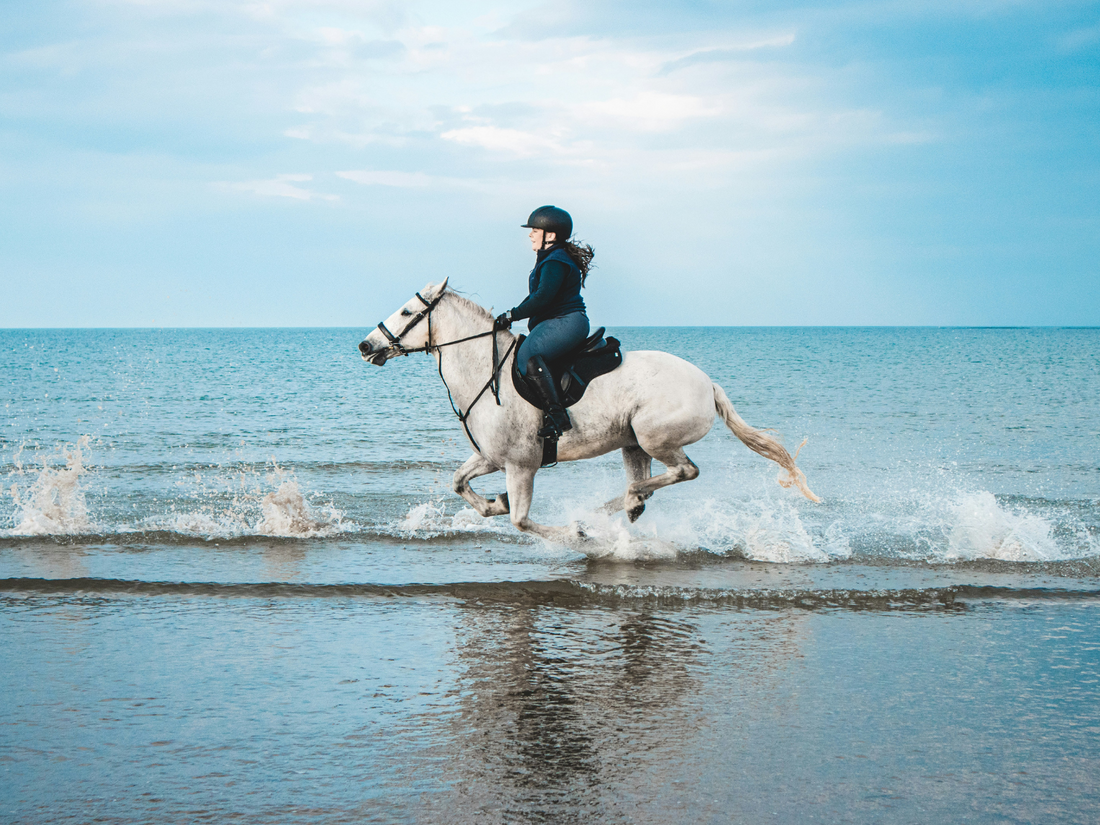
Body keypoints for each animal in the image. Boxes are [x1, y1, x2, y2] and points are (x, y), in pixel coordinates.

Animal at [359, 279, 820, 542]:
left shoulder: (521, 465)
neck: (487, 374)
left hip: (654, 436)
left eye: (407, 311)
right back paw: (621, 507)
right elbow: (459, 483)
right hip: (633, 444)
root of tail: (708, 384)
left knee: (684, 471)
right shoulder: (491, 458)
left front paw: (573, 533)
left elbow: (521, 521)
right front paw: (495, 503)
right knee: (649, 483)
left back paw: (607, 511)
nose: (366, 345)